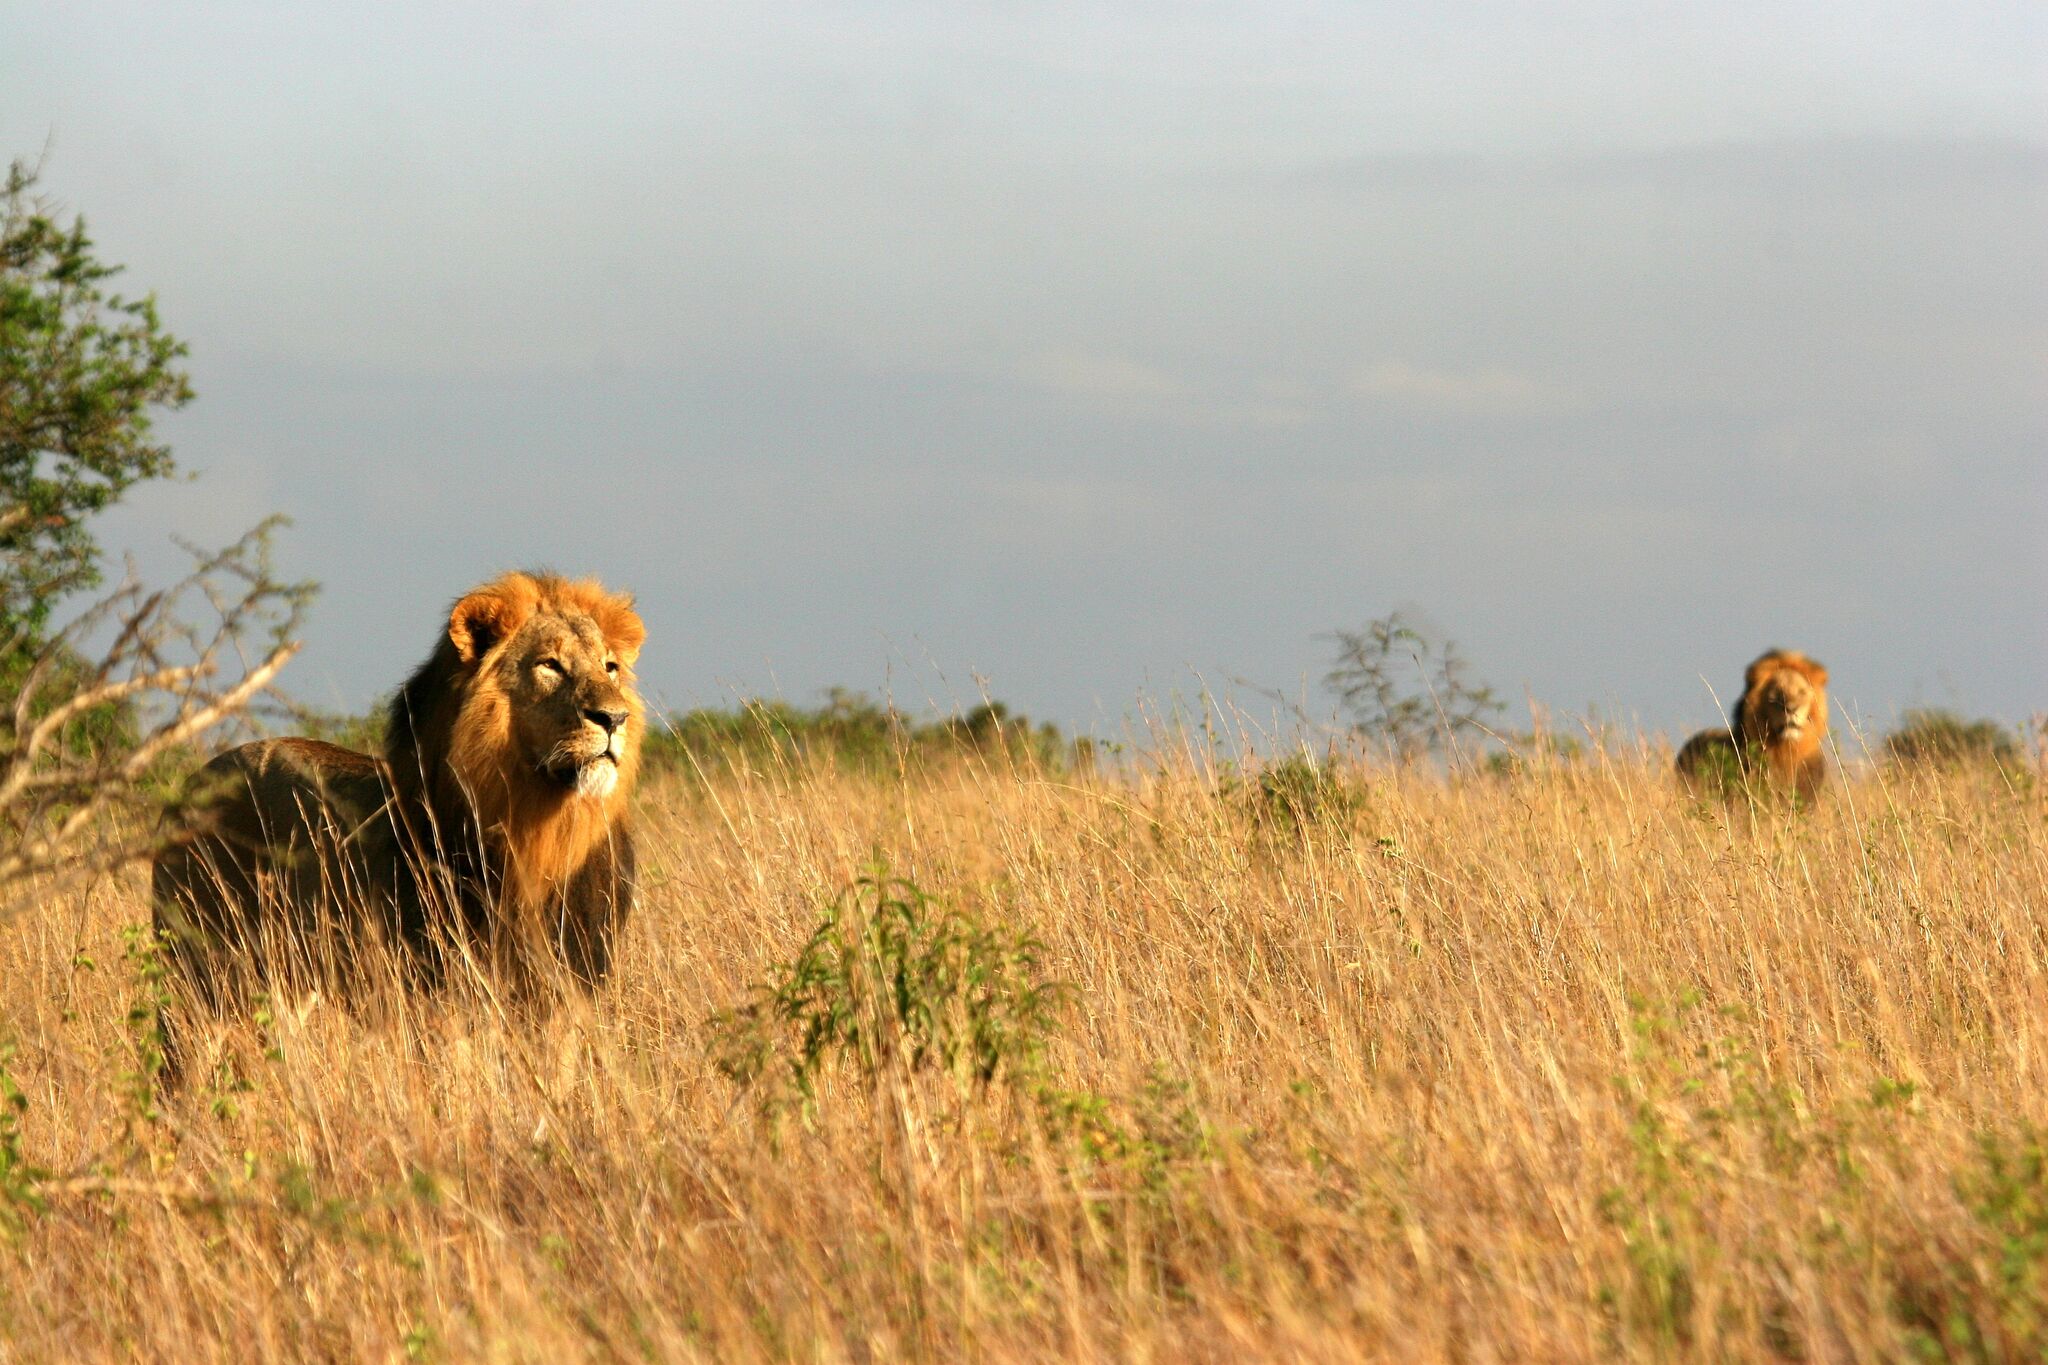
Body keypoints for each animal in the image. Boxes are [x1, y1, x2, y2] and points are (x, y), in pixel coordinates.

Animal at [152, 573, 647, 1035]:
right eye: (550, 665)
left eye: (610, 667)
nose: (613, 718)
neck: (543, 832)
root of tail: (191, 782)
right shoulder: (434, 988)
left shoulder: (569, 987)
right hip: (201, 970)